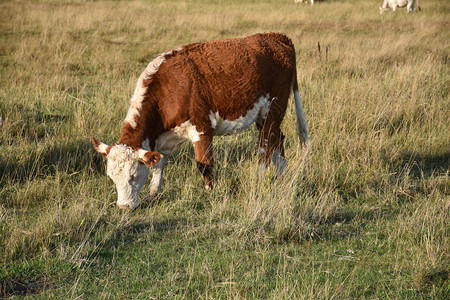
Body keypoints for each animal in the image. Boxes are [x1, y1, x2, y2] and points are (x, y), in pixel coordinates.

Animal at [91, 32, 310, 210]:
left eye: (134, 175)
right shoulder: (161, 139)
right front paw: (153, 193)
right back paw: (283, 175)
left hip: (273, 109)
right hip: (263, 116)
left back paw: (258, 179)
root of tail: (276, 36)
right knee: (277, 140)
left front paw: (211, 193)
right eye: (111, 177)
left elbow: (205, 164)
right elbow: (159, 164)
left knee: (265, 147)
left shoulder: (202, 129)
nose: (124, 207)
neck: (168, 89)